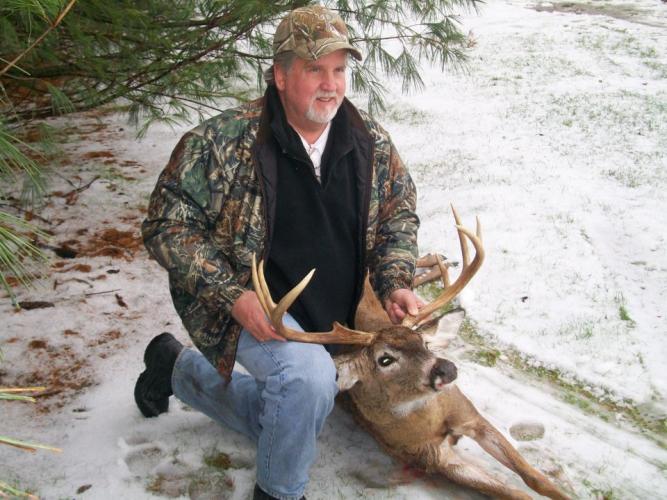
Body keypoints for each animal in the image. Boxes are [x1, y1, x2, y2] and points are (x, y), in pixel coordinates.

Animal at [250, 206, 570, 500]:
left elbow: (536, 479)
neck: (431, 422)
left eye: (423, 343)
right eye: (385, 359)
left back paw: (444, 259)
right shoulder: (432, 457)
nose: (447, 370)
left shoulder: (467, 411)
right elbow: (518, 494)